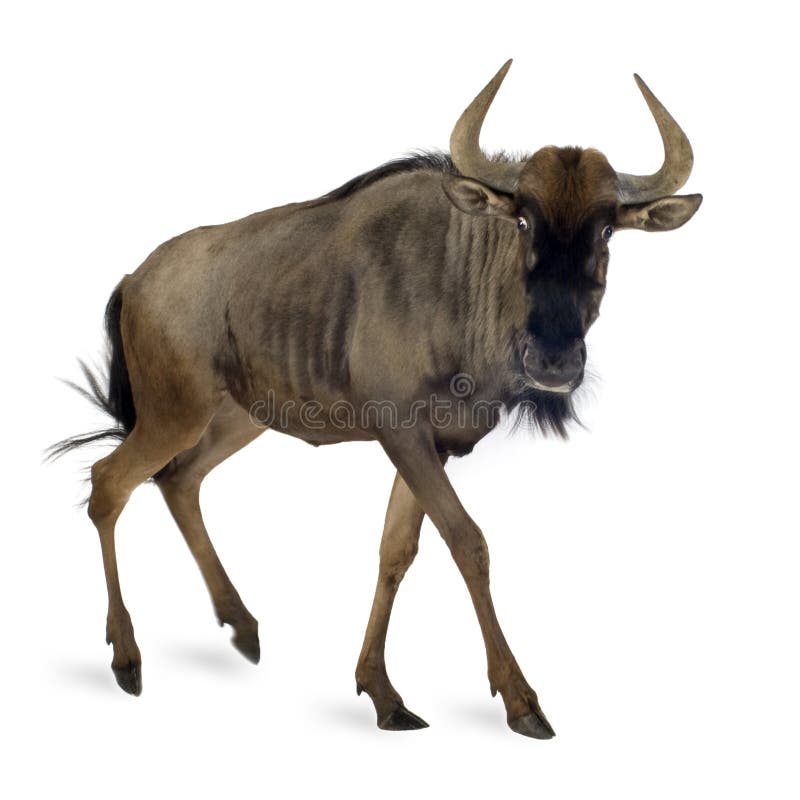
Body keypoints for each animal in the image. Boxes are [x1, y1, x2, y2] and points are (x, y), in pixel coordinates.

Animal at [52, 60, 701, 738]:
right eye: (524, 220)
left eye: (606, 230)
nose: (554, 362)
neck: (461, 279)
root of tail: (135, 279)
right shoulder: (404, 435)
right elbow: (467, 542)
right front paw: (521, 699)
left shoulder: (433, 445)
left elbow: (397, 550)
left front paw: (382, 692)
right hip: (173, 414)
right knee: (110, 483)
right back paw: (127, 657)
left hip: (235, 418)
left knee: (179, 481)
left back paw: (242, 626)